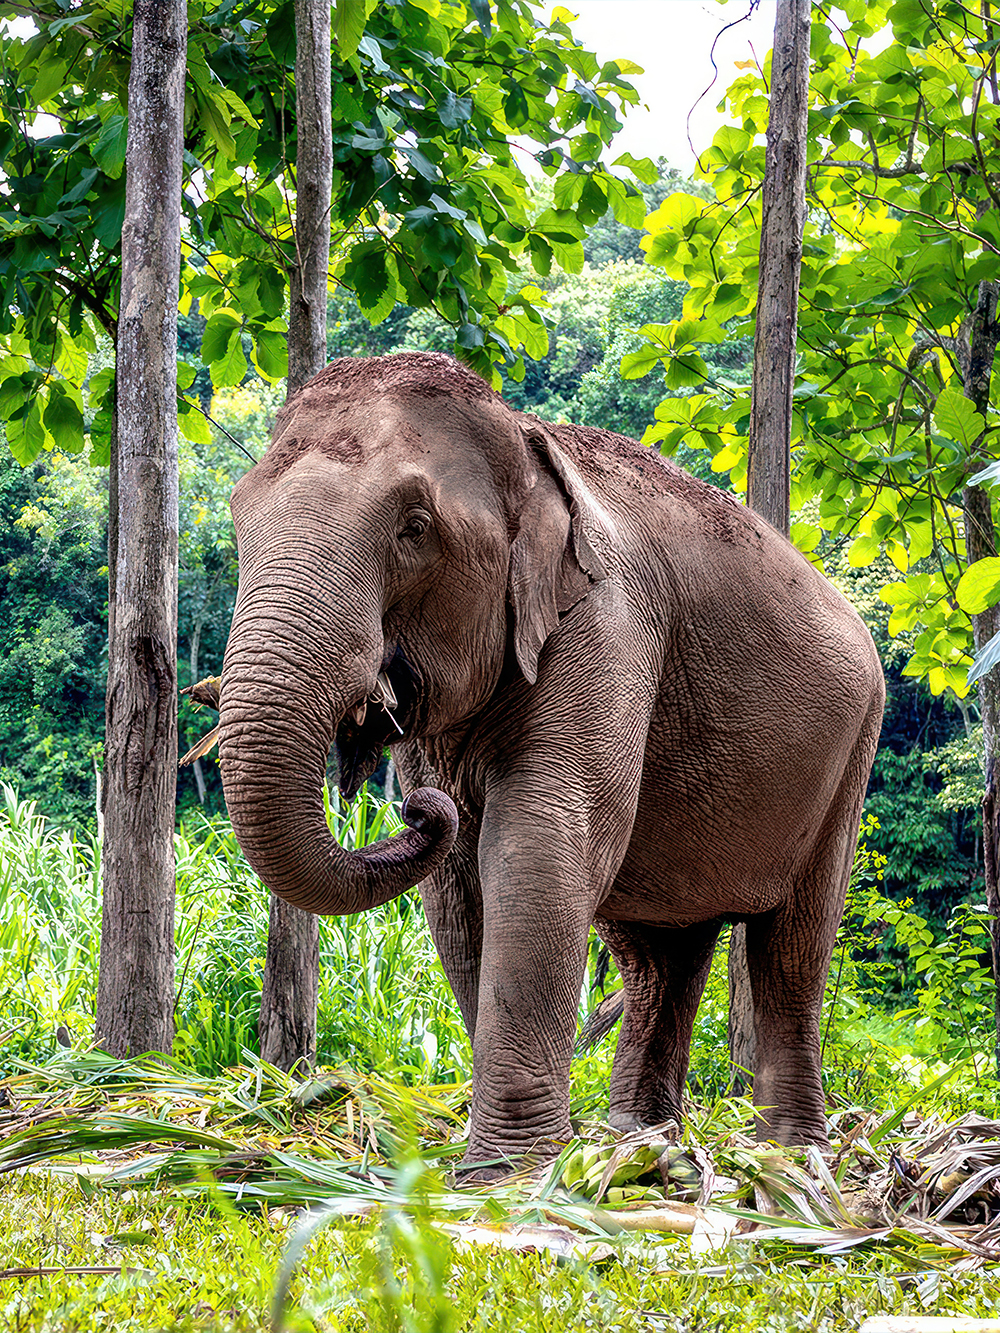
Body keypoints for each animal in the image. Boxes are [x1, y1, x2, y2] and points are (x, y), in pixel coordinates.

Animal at [218, 350, 885, 1174]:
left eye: (415, 528)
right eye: (240, 518)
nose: (415, 809)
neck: (526, 439)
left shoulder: (609, 627)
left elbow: (538, 845)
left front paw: (507, 1172)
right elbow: (458, 885)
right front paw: (519, 1162)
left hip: (850, 755)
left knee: (793, 946)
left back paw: (789, 1158)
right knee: (658, 952)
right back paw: (639, 1145)